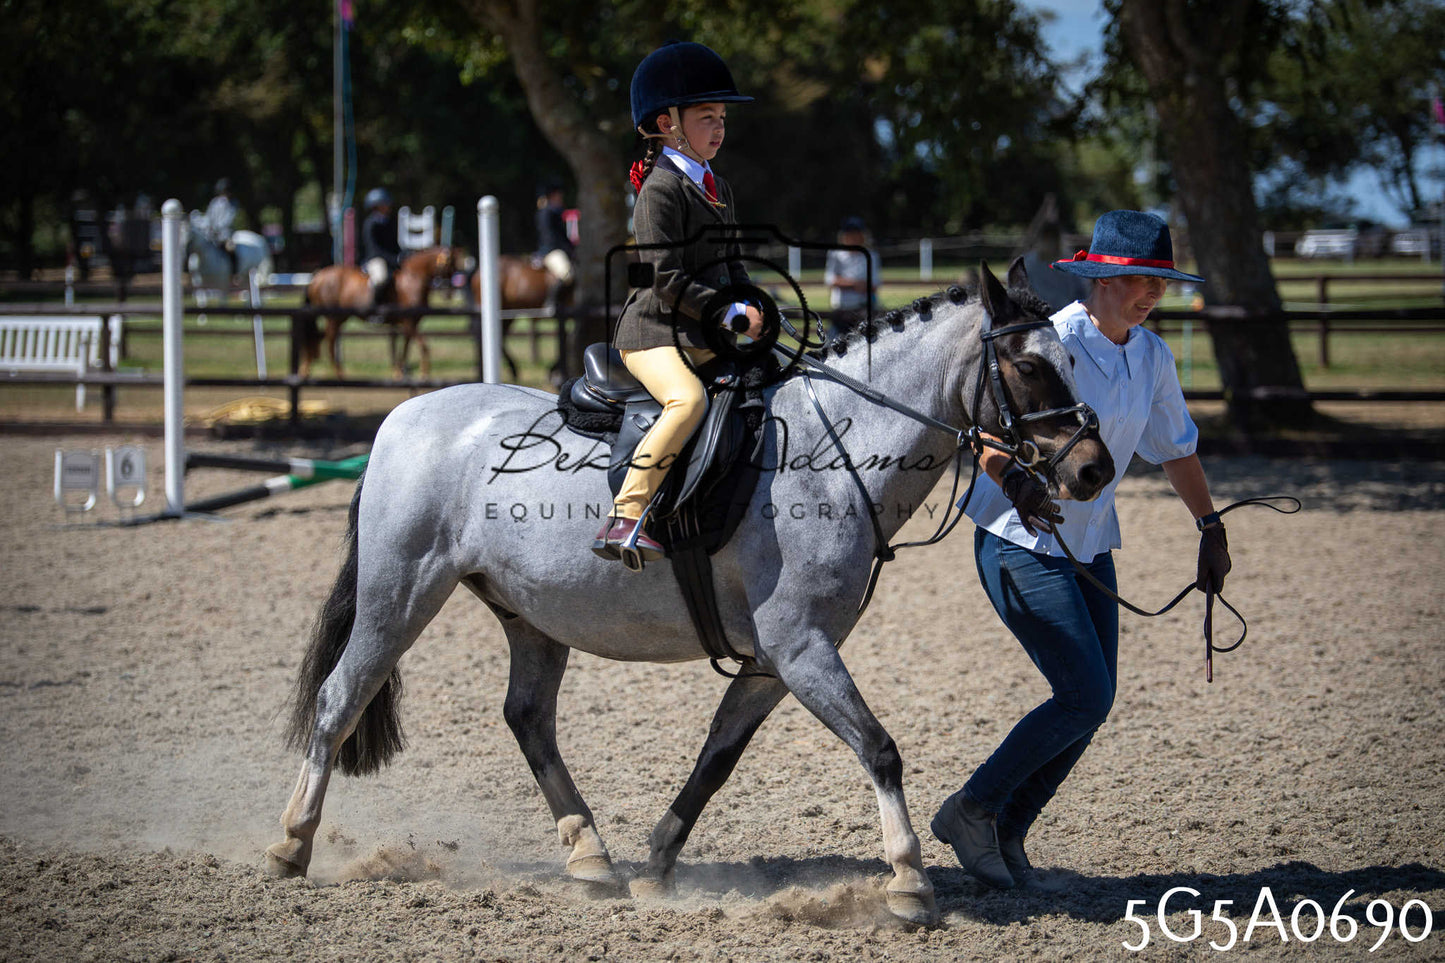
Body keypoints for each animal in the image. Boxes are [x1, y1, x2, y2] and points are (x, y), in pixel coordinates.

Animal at [264, 259, 1114, 925]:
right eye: (1031, 368)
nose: (1092, 469)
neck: (831, 451)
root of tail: (404, 417)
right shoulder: (801, 648)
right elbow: (879, 748)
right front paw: (907, 880)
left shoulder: (774, 663)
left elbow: (716, 759)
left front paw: (656, 863)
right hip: (399, 594)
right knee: (340, 699)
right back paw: (290, 843)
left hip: (531, 615)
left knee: (528, 719)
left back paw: (591, 858)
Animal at [299, 246, 460, 380]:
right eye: (449, 267)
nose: (450, 294)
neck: (412, 280)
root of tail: (317, 277)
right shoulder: (410, 324)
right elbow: (424, 346)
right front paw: (424, 373)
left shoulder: (410, 325)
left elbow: (405, 349)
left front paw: (399, 372)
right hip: (333, 318)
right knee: (328, 341)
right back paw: (339, 374)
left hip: (340, 318)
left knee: (317, 337)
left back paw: (306, 371)